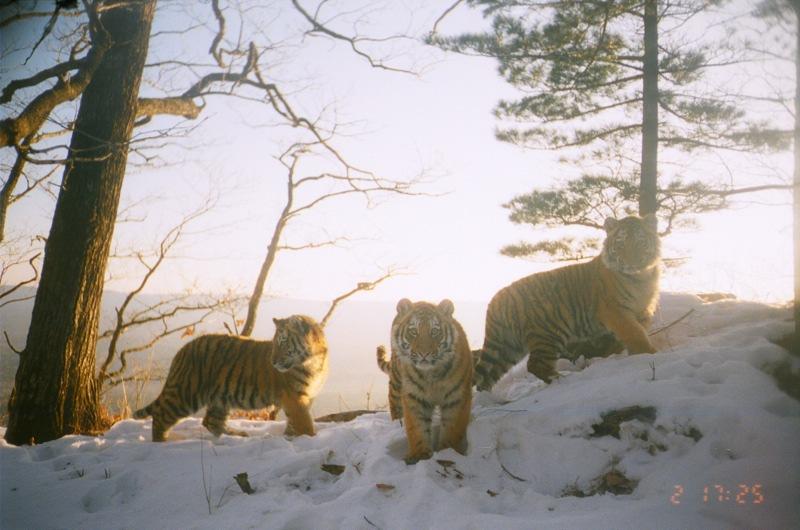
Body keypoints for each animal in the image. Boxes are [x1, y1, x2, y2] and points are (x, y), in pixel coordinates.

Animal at [134, 314, 328, 442]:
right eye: (276, 342)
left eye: (283, 341)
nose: (272, 362)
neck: (314, 360)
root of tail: (182, 350)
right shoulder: (294, 398)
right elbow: (304, 422)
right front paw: (310, 439)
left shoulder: (305, 397)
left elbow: (295, 423)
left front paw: (290, 436)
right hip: (186, 392)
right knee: (161, 416)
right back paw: (162, 442)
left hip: (220, 398)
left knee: (210, 422)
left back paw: (238, 435)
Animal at [376, 296, 476, 462]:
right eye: (413, 332)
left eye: (434, 331)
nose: (424, 353)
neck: (431, 375)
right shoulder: (413, 396)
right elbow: (416, 427)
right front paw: (419, 454)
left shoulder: (457, 397)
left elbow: (453, 427)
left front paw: (448, 451)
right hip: (396, 379)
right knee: (393, 398)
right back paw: (397, 421)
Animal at [476, 212, 664, 390]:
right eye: (620, 243)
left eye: (640, 242)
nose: (630, 262)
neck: (641, 277)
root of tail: (496, 301)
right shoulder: (615, 311)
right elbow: (635, 333)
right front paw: (650, 353)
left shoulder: (643, 310)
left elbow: (637, 332)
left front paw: (636, 355)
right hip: (547, 333)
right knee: (535, 364)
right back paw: (562, 379)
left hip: (507, 347)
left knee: (485, 379)